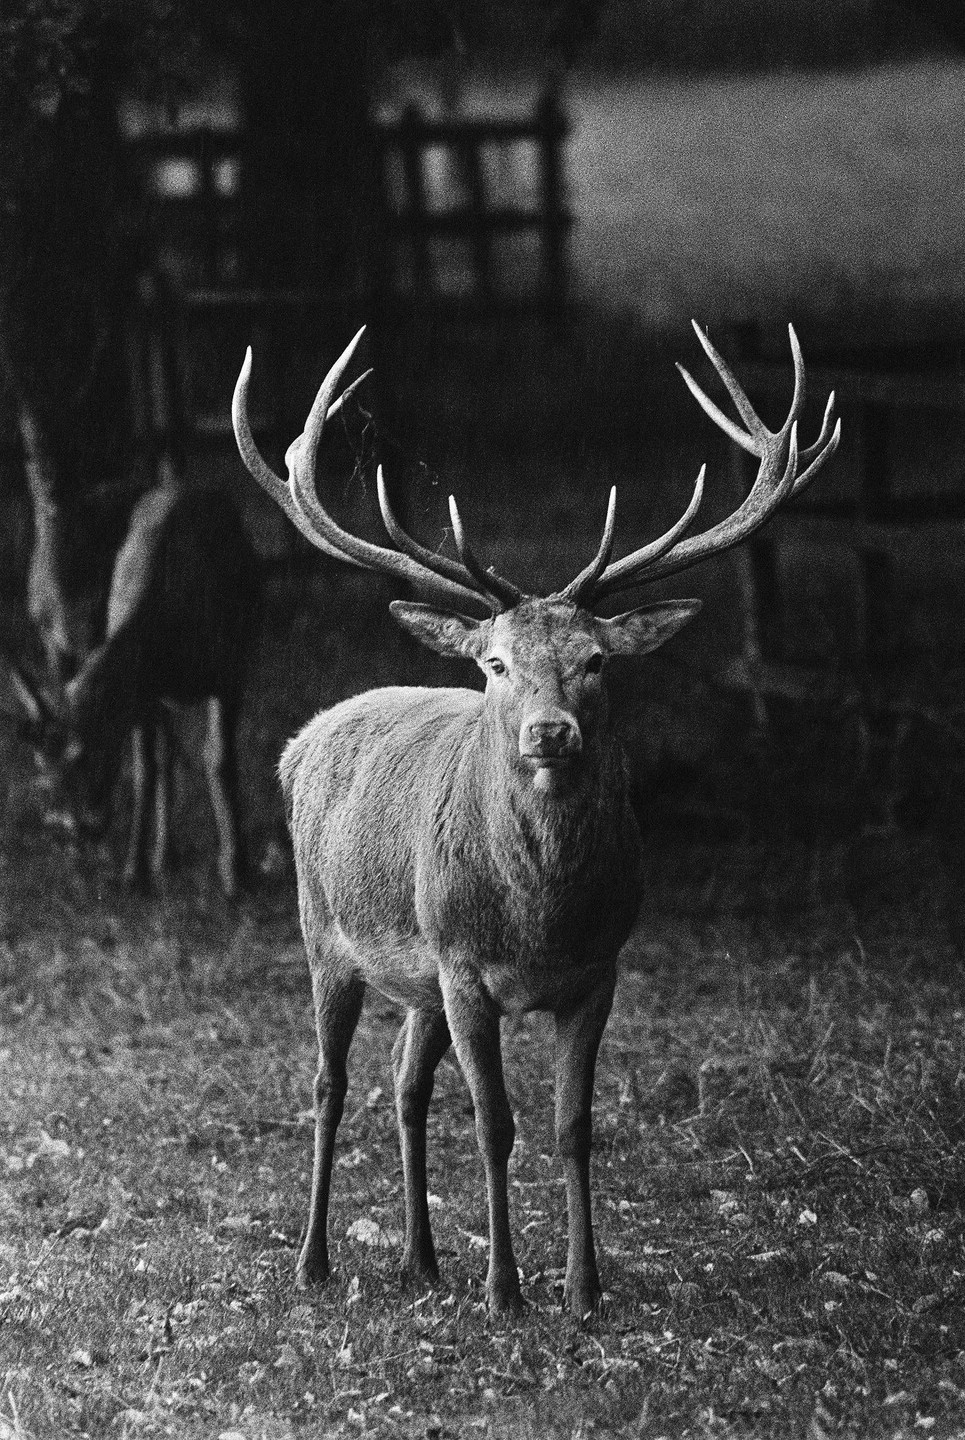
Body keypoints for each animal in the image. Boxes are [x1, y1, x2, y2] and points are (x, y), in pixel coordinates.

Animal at [231, 322, 840, 1315]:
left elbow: (571, 1125)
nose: (548, 730)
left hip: (418, 980)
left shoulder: (600, 970)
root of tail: (300, 739)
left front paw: (584, 1290)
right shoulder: (464, 967)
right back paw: (313, 1261)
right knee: (328, 1082)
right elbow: (493, 1124)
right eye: (494, 663)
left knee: (403, 1084)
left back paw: (420, 1258)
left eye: (596, 659)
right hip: (327, 931)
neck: (539, 918)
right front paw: (505, 1291)